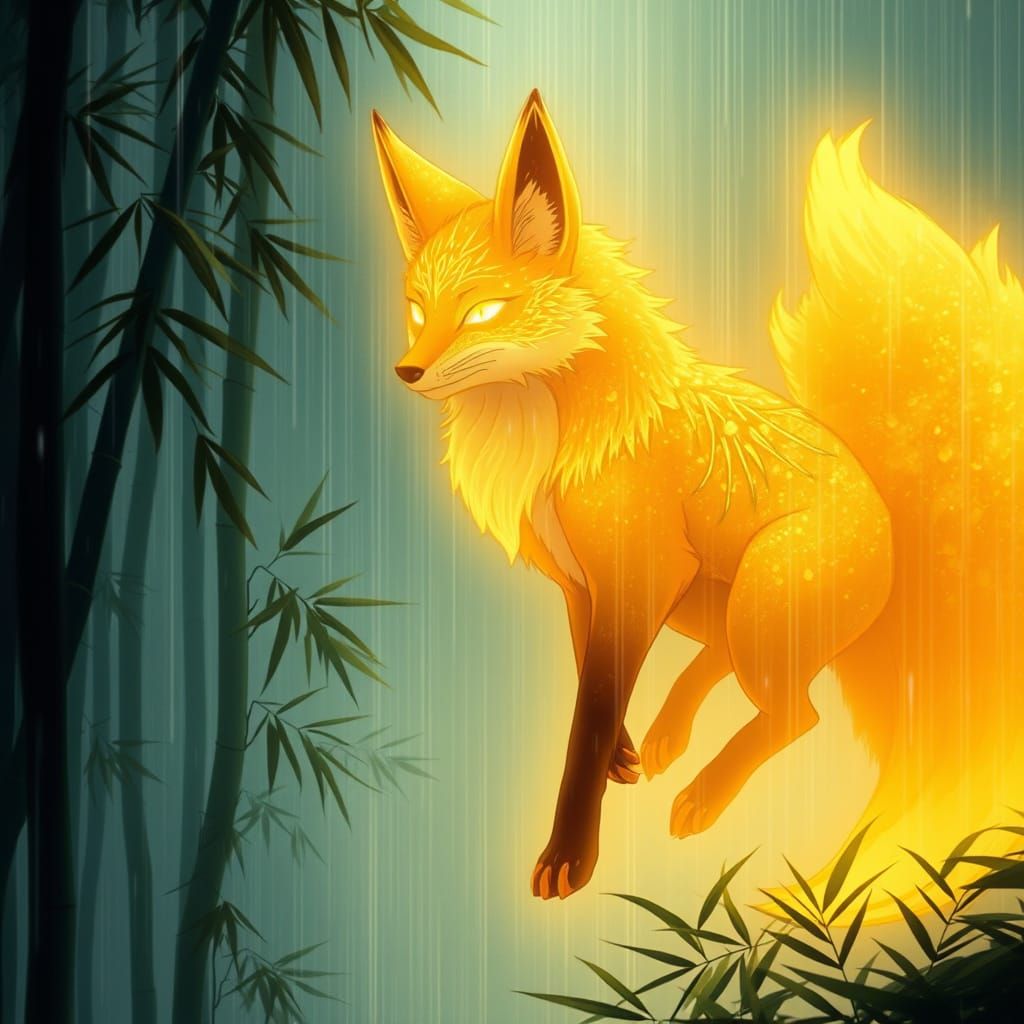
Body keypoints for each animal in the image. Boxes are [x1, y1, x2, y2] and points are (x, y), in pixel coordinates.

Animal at [372, 90, 1024, 919]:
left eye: (484, 312)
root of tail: (895, 528)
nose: (407, 371)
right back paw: (667, 733)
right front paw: (621, 753)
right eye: (418, 311)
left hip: (758, 602)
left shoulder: (638, 571)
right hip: (708, 602)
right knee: (730, 666)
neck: (565, 442)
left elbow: (587, 721)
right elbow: (589, 677)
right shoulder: (585, 584)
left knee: (796, 711)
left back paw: (704, 794)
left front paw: (569, 855)